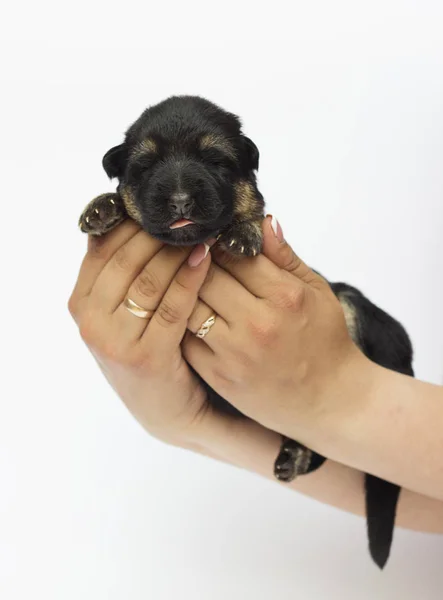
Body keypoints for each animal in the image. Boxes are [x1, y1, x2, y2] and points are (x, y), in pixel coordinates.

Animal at [80, 94, 416, 568]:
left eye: (216, 161)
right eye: (144, 167)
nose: (180, 200)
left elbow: (256, 216)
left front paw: (243, 232)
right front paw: (102, 206)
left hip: (357, 307)